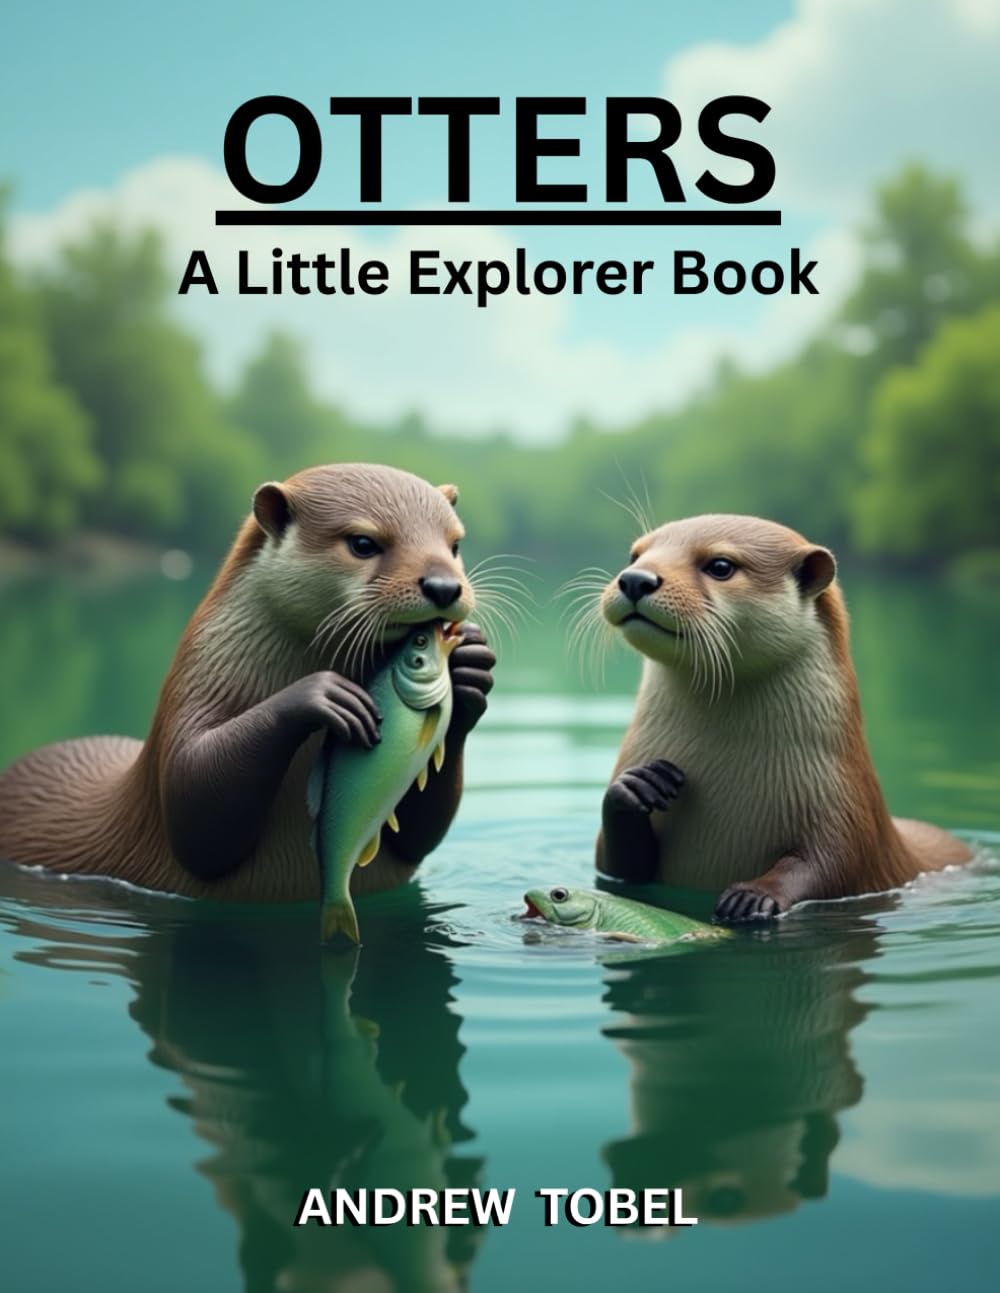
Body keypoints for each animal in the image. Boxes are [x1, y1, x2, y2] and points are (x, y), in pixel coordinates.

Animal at [0, 464, 496, 901]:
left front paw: (472, 667)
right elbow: (195, 806)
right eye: (362, 543)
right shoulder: (189, 706)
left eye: (455, 545)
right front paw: (319, 695)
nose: (444, 586)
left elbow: (418, 836)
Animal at [595, 514, 970, 921]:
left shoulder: (845, 805)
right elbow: (615, 863)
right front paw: (635, 785)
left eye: (720, 566)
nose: (635, 579)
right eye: (635, 555)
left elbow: (830, 863)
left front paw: (754, 895)